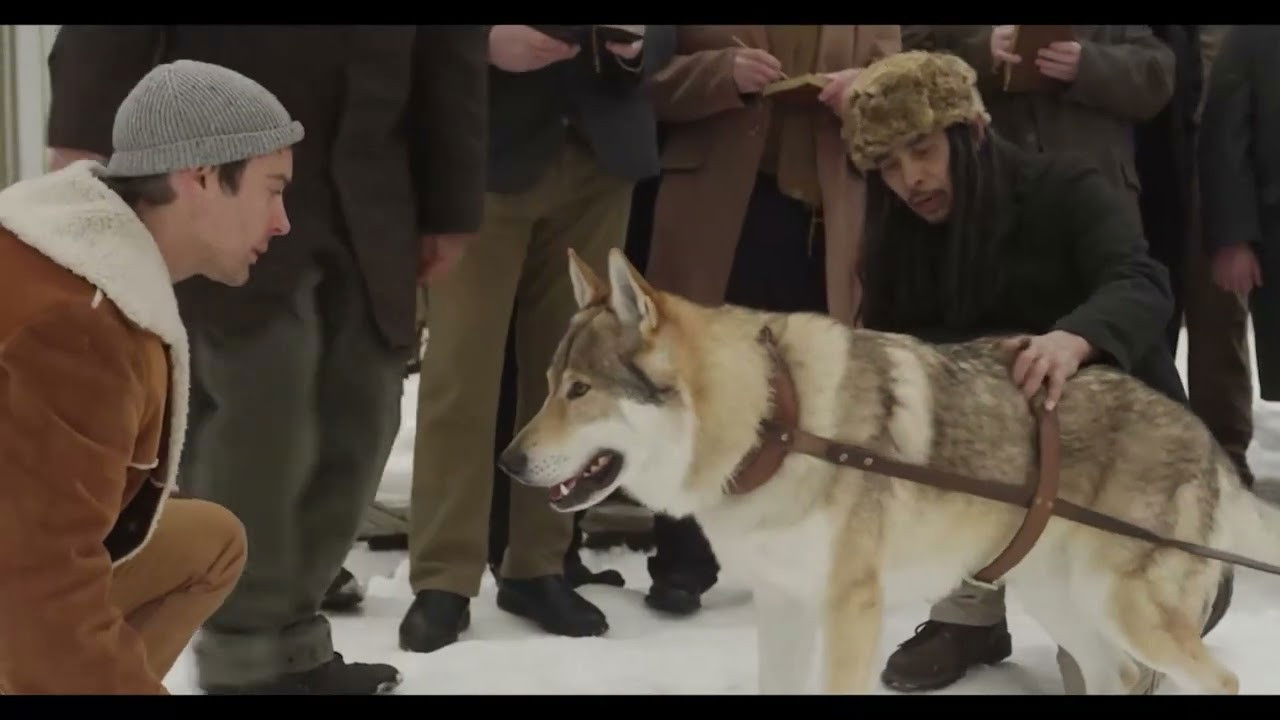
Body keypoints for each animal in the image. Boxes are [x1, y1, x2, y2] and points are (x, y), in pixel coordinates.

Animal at [499, 247, 1280, 695]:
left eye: (580, 391)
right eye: (549, 384)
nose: (508, 462)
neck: (776, 422)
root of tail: (1209, 441)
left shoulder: (851, 609)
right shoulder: (783, 604)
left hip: (1126, 610)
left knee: (1222, 681)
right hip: (1064, 602)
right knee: (1116, 676)